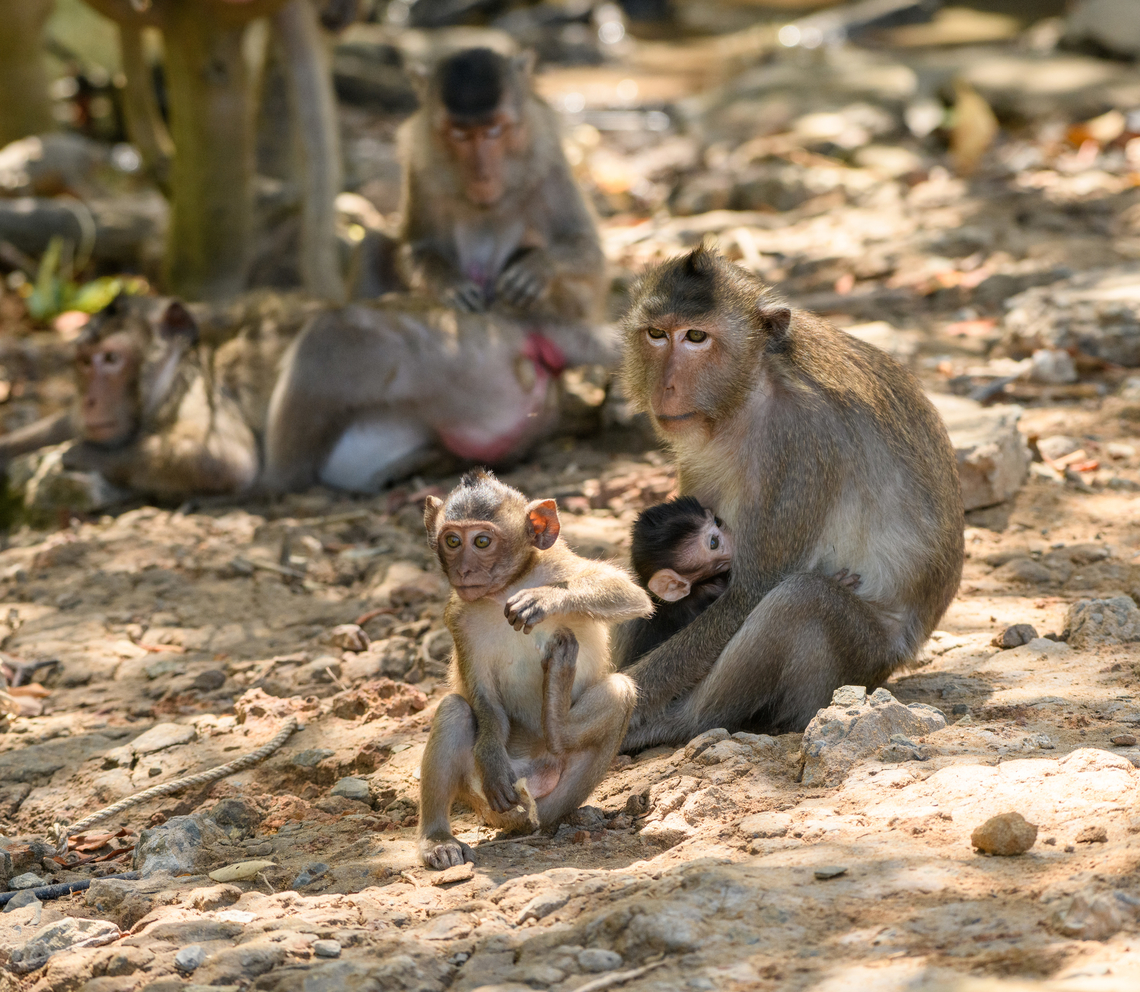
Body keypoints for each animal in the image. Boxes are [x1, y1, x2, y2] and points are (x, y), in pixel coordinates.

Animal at [397, 47, 606, 321]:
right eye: (459, 135)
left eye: (493, 131)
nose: (481, 176)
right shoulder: (420, 165)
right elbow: (417, 248)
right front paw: (450, 282)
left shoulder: (547, 161)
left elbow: (589, 249)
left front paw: (539, 266)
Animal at [417, 469, 651, 869]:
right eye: (451, 540)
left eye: (481, 541)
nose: (464, 569)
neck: (504, 589)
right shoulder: (459, 618)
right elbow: (483, 698)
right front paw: (490, 754)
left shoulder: (560, 565)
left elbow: (630, 594)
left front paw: (545, 599)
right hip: (485, 798)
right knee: (454, 709)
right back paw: (438, 839)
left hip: (559, 786)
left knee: (620, 690)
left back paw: (556, 719)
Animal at [615, 245, 965, 751]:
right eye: (657, 335)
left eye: (696, 336)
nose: (667, 386)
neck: (750, 391)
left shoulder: (802, 439)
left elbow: (750, 593)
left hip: (865, 659)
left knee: (801, 599)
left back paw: (679, 723)